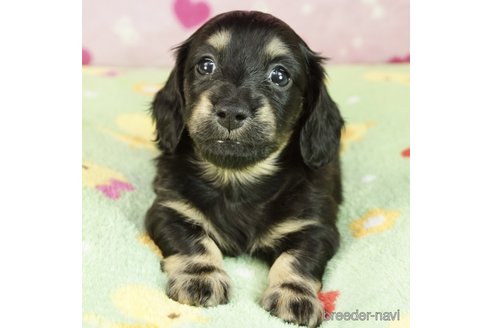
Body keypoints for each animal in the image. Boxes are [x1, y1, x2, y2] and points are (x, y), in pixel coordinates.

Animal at [146, 10, 344, 328]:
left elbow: (298, 259)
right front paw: (200, 277)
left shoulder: (315, 228)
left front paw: (294, 295)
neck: (237, 179)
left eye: (279, 75)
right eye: (206, 65)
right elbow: (195, 243)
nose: (230, 112)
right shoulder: (170, 211)